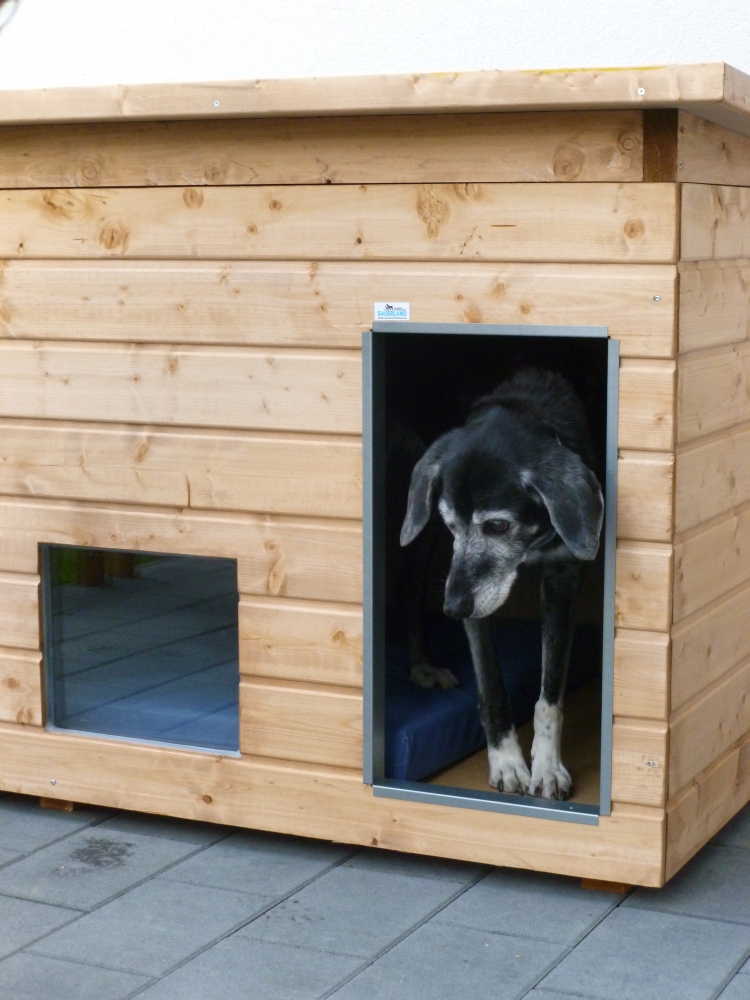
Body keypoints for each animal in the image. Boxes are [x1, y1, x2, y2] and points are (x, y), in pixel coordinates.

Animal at [400, 372, 604, 800]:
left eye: (497, 525)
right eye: (452, 524)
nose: (452, 608)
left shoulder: (563, 577)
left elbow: (550, 693)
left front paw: (547, 766)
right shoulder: (471, 595)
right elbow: (492, 686)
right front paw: (507, 762)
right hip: (420, 508)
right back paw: (423, 664)